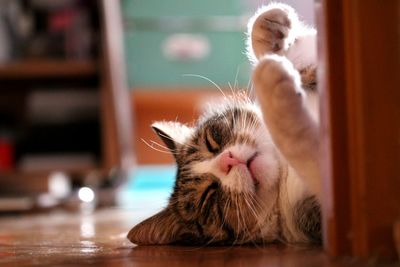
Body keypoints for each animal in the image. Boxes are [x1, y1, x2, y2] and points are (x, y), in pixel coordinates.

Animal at [128, 3, 322, 247]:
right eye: (208, 196)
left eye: (213, 141)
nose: (228, 160)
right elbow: (303, 147)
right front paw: (270, 81)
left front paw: (272, 33)